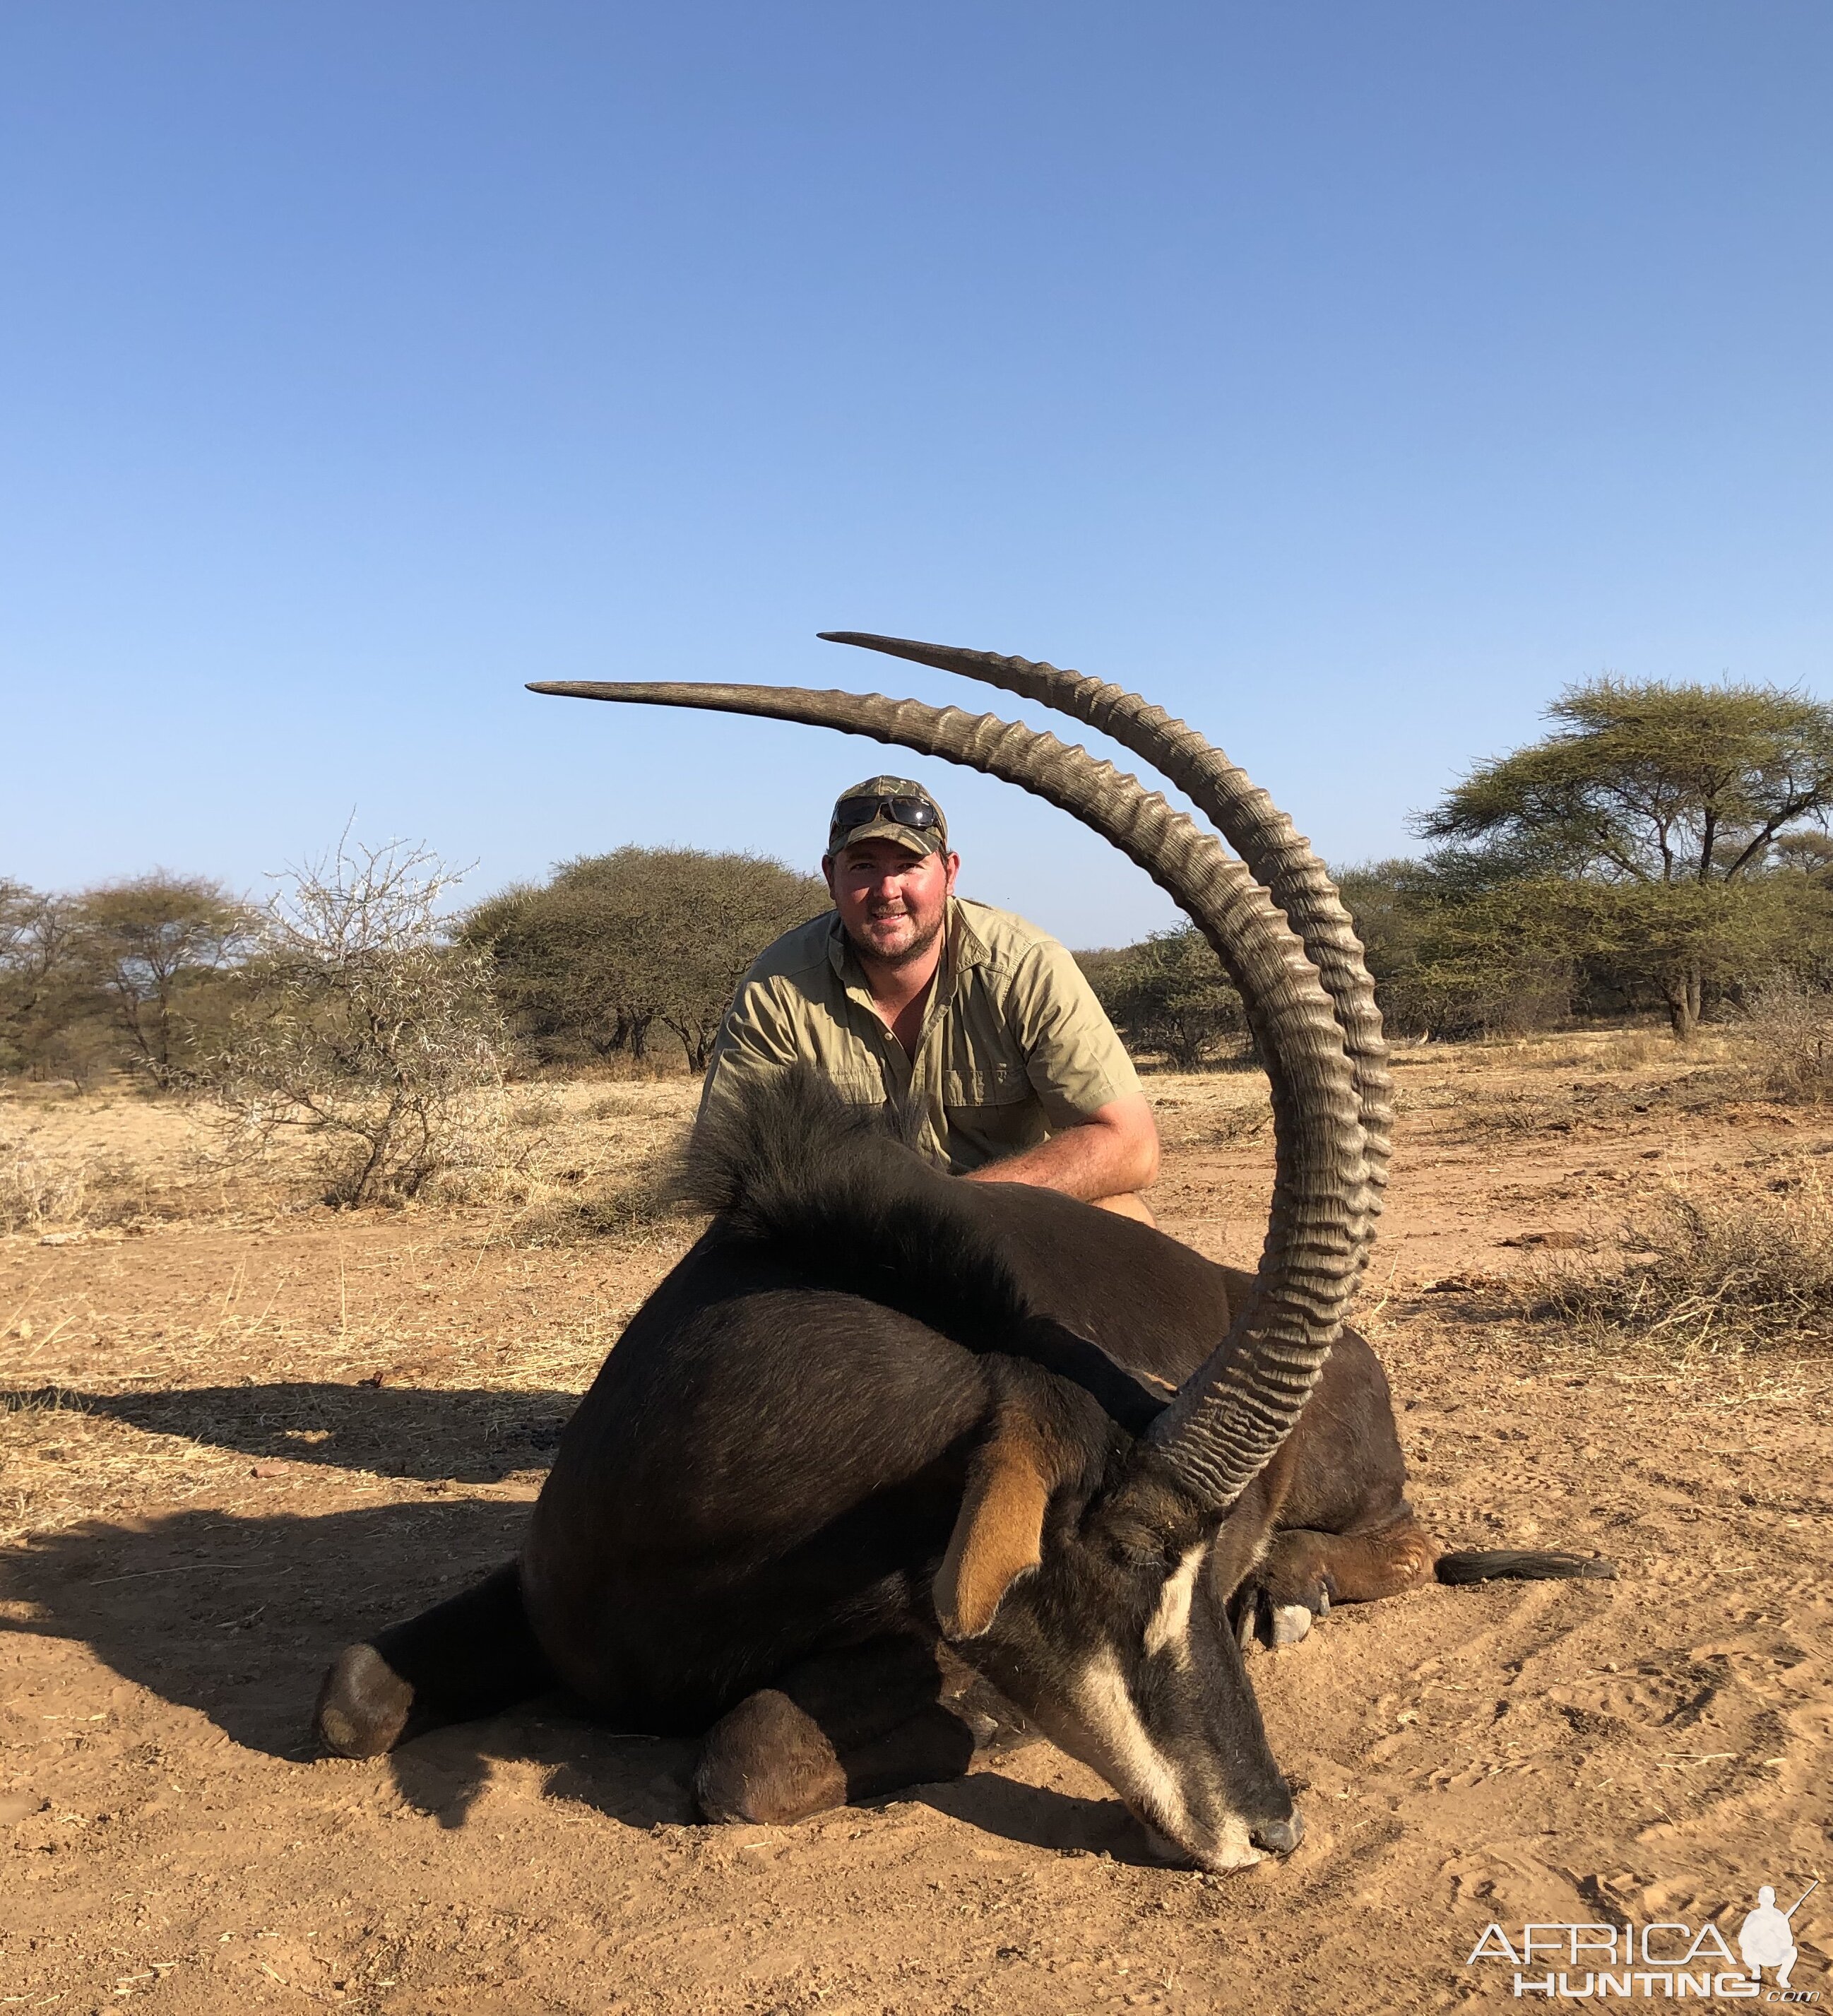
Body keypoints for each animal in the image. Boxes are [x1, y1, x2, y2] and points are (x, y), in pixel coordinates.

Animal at [314, 633, 1605, 1870]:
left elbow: (749, 1754)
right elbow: (352, 1693)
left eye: (1197, 1555)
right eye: (1128, 1551)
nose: (1268, 1826)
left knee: (1410, 1538)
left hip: (1359, 1489)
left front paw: (977, 1727)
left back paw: (1293, 1589)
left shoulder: (921, 1638)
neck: (707, 1464)